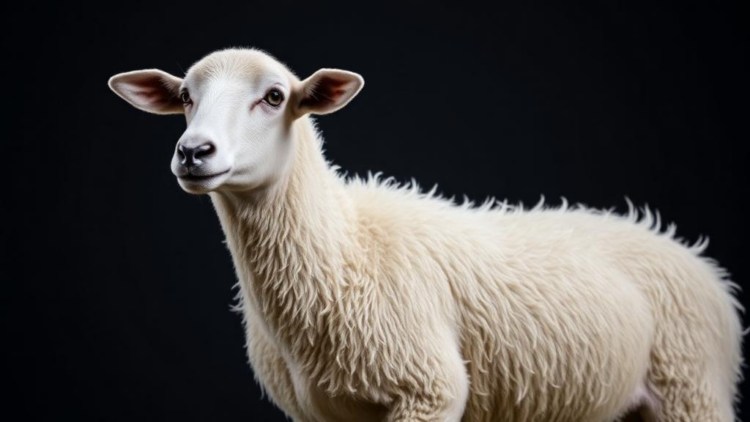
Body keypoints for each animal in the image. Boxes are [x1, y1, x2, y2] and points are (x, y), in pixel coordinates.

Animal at [108, 48, 744, 422]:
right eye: (185, 97)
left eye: (274, 97)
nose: (194, 152)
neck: (343, 248)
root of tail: (697, 259)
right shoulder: (322, 413)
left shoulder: (429, 390)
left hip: (691, 387)